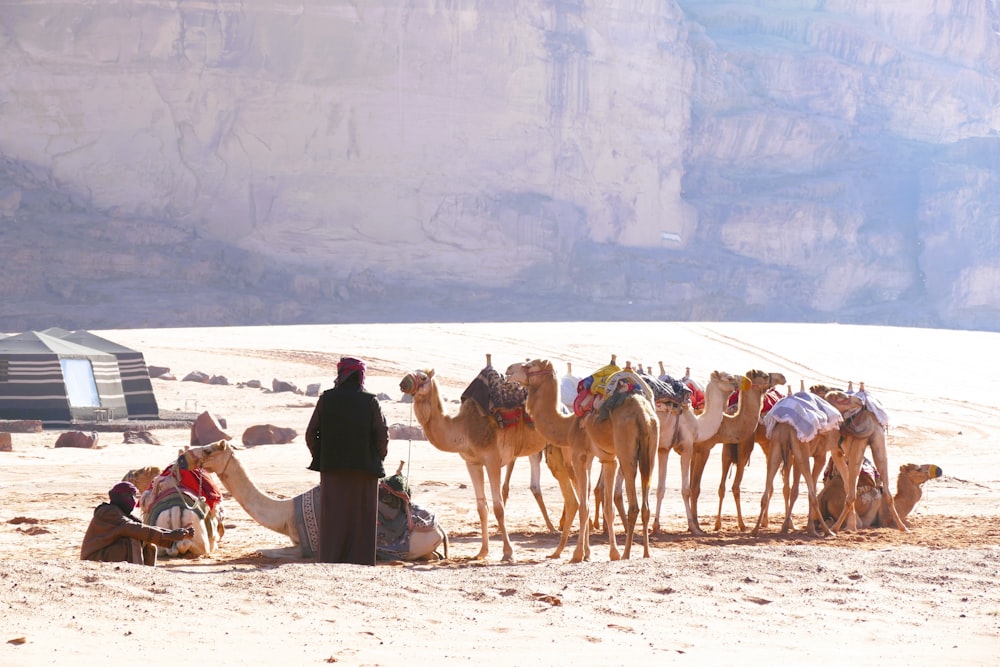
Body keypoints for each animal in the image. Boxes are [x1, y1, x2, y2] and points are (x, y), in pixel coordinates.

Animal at [182, 440, 448, 560]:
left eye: (209, 450)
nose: (185, 455)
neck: (286, 513)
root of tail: (440, 529)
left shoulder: (305, 547)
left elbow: (265, 551)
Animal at [396, 362, 572, 560]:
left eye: (423, 378)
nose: (403, 383)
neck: (463, 428)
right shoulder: (472, 463)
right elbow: (482, 508)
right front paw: (481, 552)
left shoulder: (492, 460)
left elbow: (498, 507)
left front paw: (508, 553)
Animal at [504, 360, 660, 564]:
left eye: (529, 365)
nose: (508, 370)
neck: (568, 426)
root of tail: (643, 414)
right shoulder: (607, 459)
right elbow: (607, 508)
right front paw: (609, 553)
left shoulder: (579, 455)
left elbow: (583, 506)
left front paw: (578, 554)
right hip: (650, 450)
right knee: (645, 504)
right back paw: (646, 552)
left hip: (627, 453)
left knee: (633, 504)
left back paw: (627, 554)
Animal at [688, 370, 788, 532]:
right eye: (764, 375)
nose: (782, 377)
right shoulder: (703, 449)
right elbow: (695, 488)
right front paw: (696, 526)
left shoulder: (695, 451)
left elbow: (691, 486)